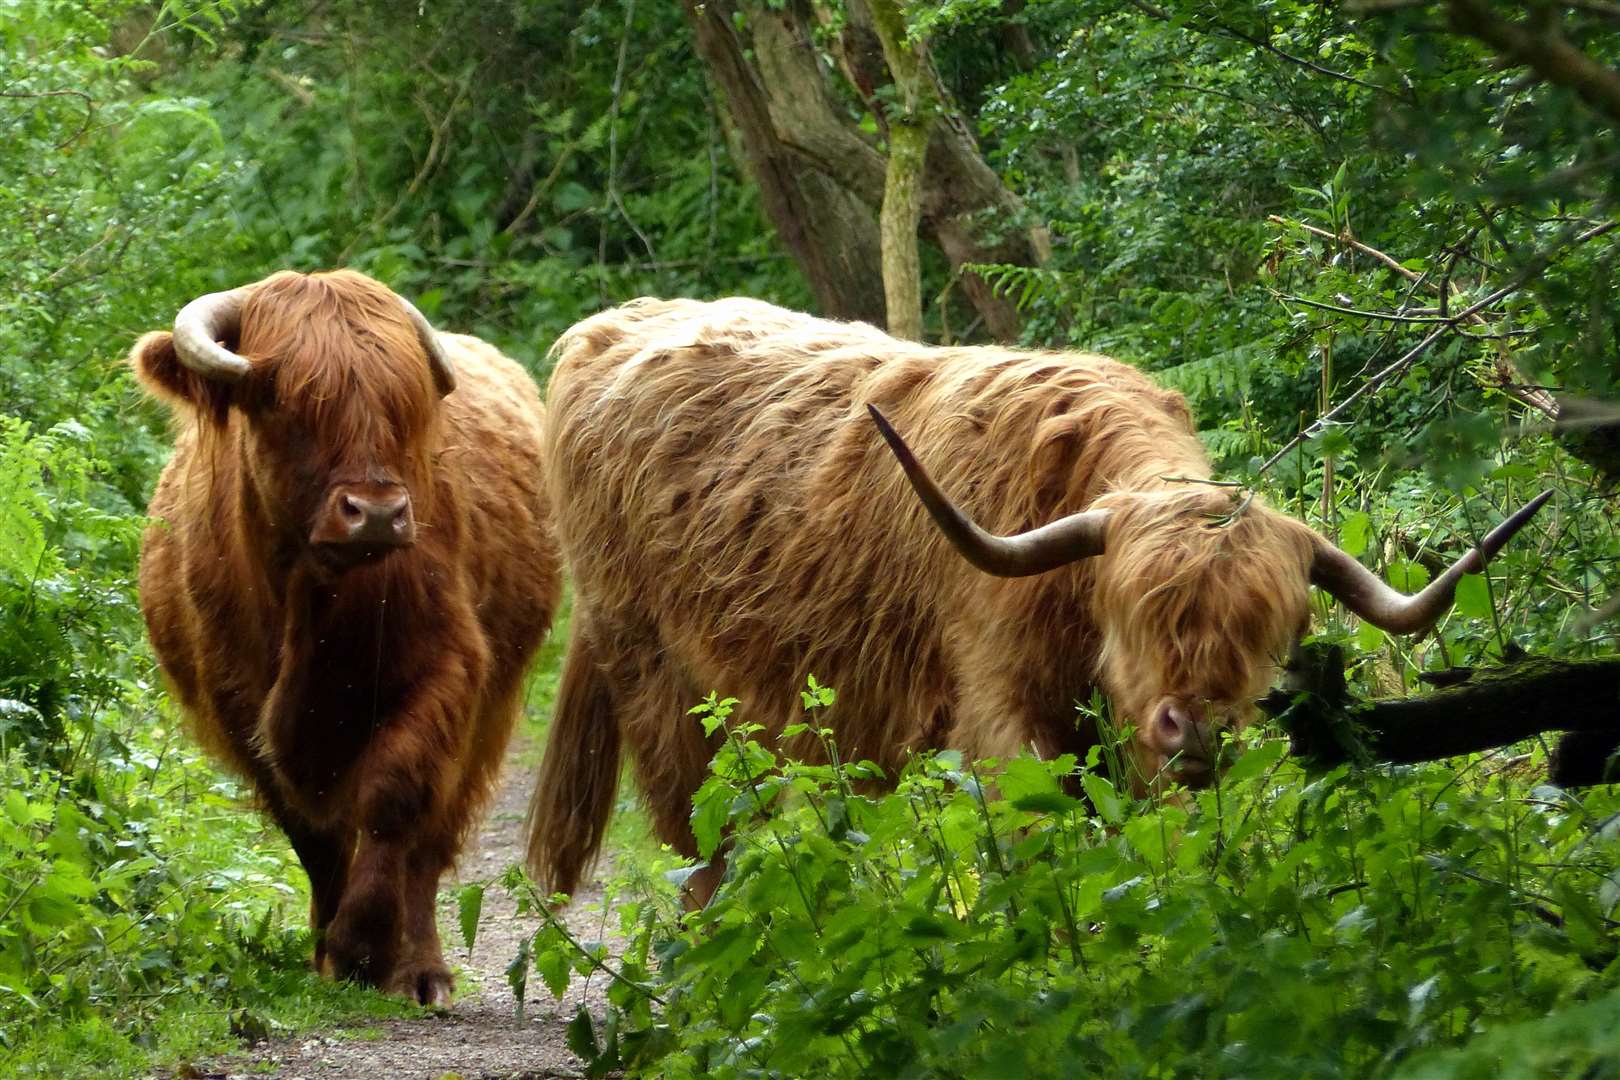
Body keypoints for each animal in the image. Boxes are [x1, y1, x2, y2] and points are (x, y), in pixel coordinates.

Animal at [129, 270, 557, 1003]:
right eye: (284, 402)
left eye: (402, 406)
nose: (378, 514)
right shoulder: (239, 704)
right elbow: (314, 836)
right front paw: (331, 950)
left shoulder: (447, 667)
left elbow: (394, 796)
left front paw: (365, 947)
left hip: (491, 708)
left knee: (430, 841)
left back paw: (423, 971)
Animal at [524, 297, 1548, 906]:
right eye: (1137, 614)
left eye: (1272, 632)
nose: (1195, 727)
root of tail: (609, 327)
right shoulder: (999, 712)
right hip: (655, 679)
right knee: (702, 836)